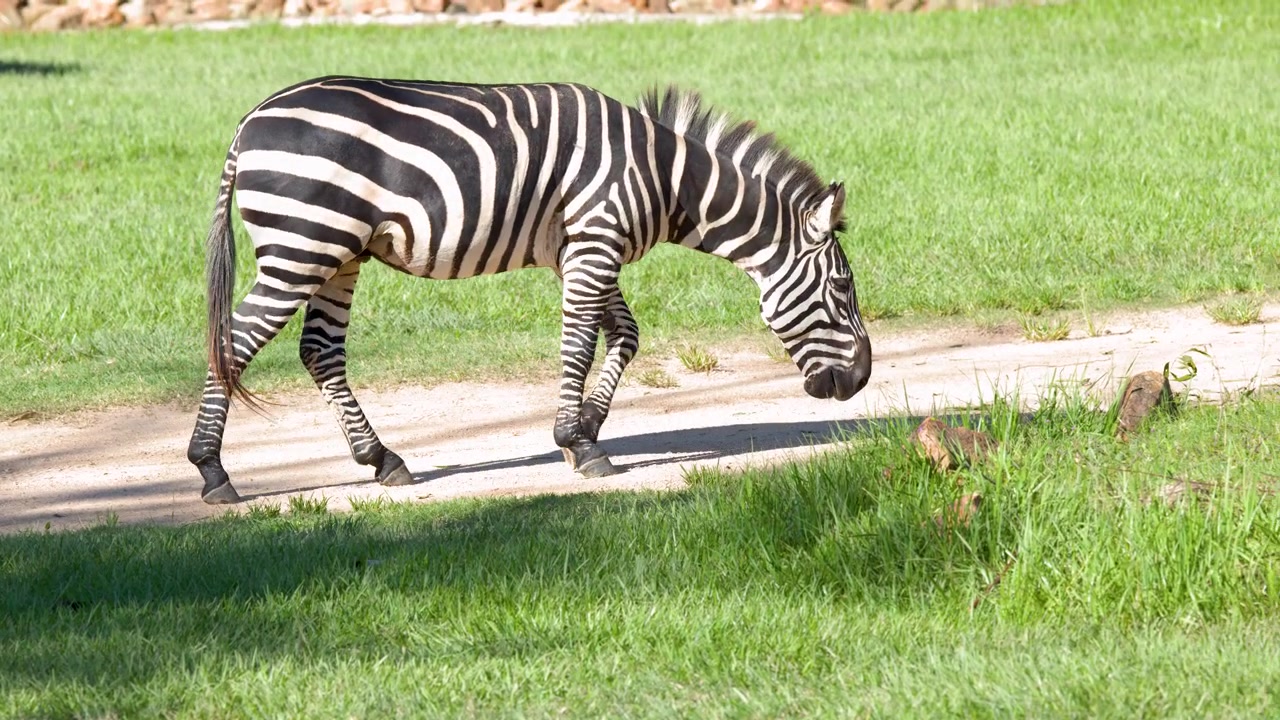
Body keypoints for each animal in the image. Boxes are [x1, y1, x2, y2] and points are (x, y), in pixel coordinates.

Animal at [188, 76, 873, 505]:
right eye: (842, 288)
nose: (862, 379)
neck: (666, 178)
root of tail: (250, 121)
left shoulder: (580, 250)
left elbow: (624, 335)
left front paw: (587, 427)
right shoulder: (596, 239)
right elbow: (579, 342)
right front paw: (578, 443)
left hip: (338, 254)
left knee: (320, 352)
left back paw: (383, 461)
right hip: (302, 247)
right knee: (234, 343)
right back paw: (213, 472)